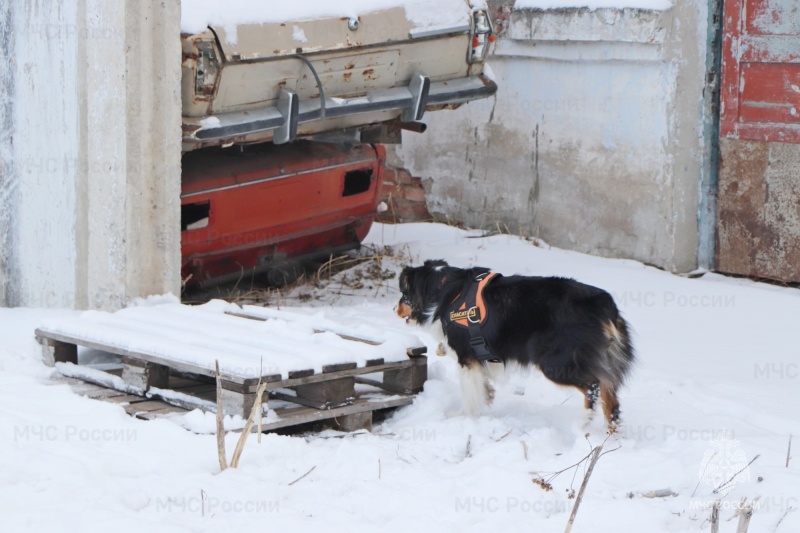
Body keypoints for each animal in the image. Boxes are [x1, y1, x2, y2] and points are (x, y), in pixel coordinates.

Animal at [396, 260, 636, 430]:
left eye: (403, 294)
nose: (394, 310)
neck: (443, 291)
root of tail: (603, 303)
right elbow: (481, 384)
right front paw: (487, 397)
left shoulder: (466, 357)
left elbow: (468, 391)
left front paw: (461, 416)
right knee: (611, 400)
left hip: (555, 362)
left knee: (593, 385)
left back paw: (585, 421)